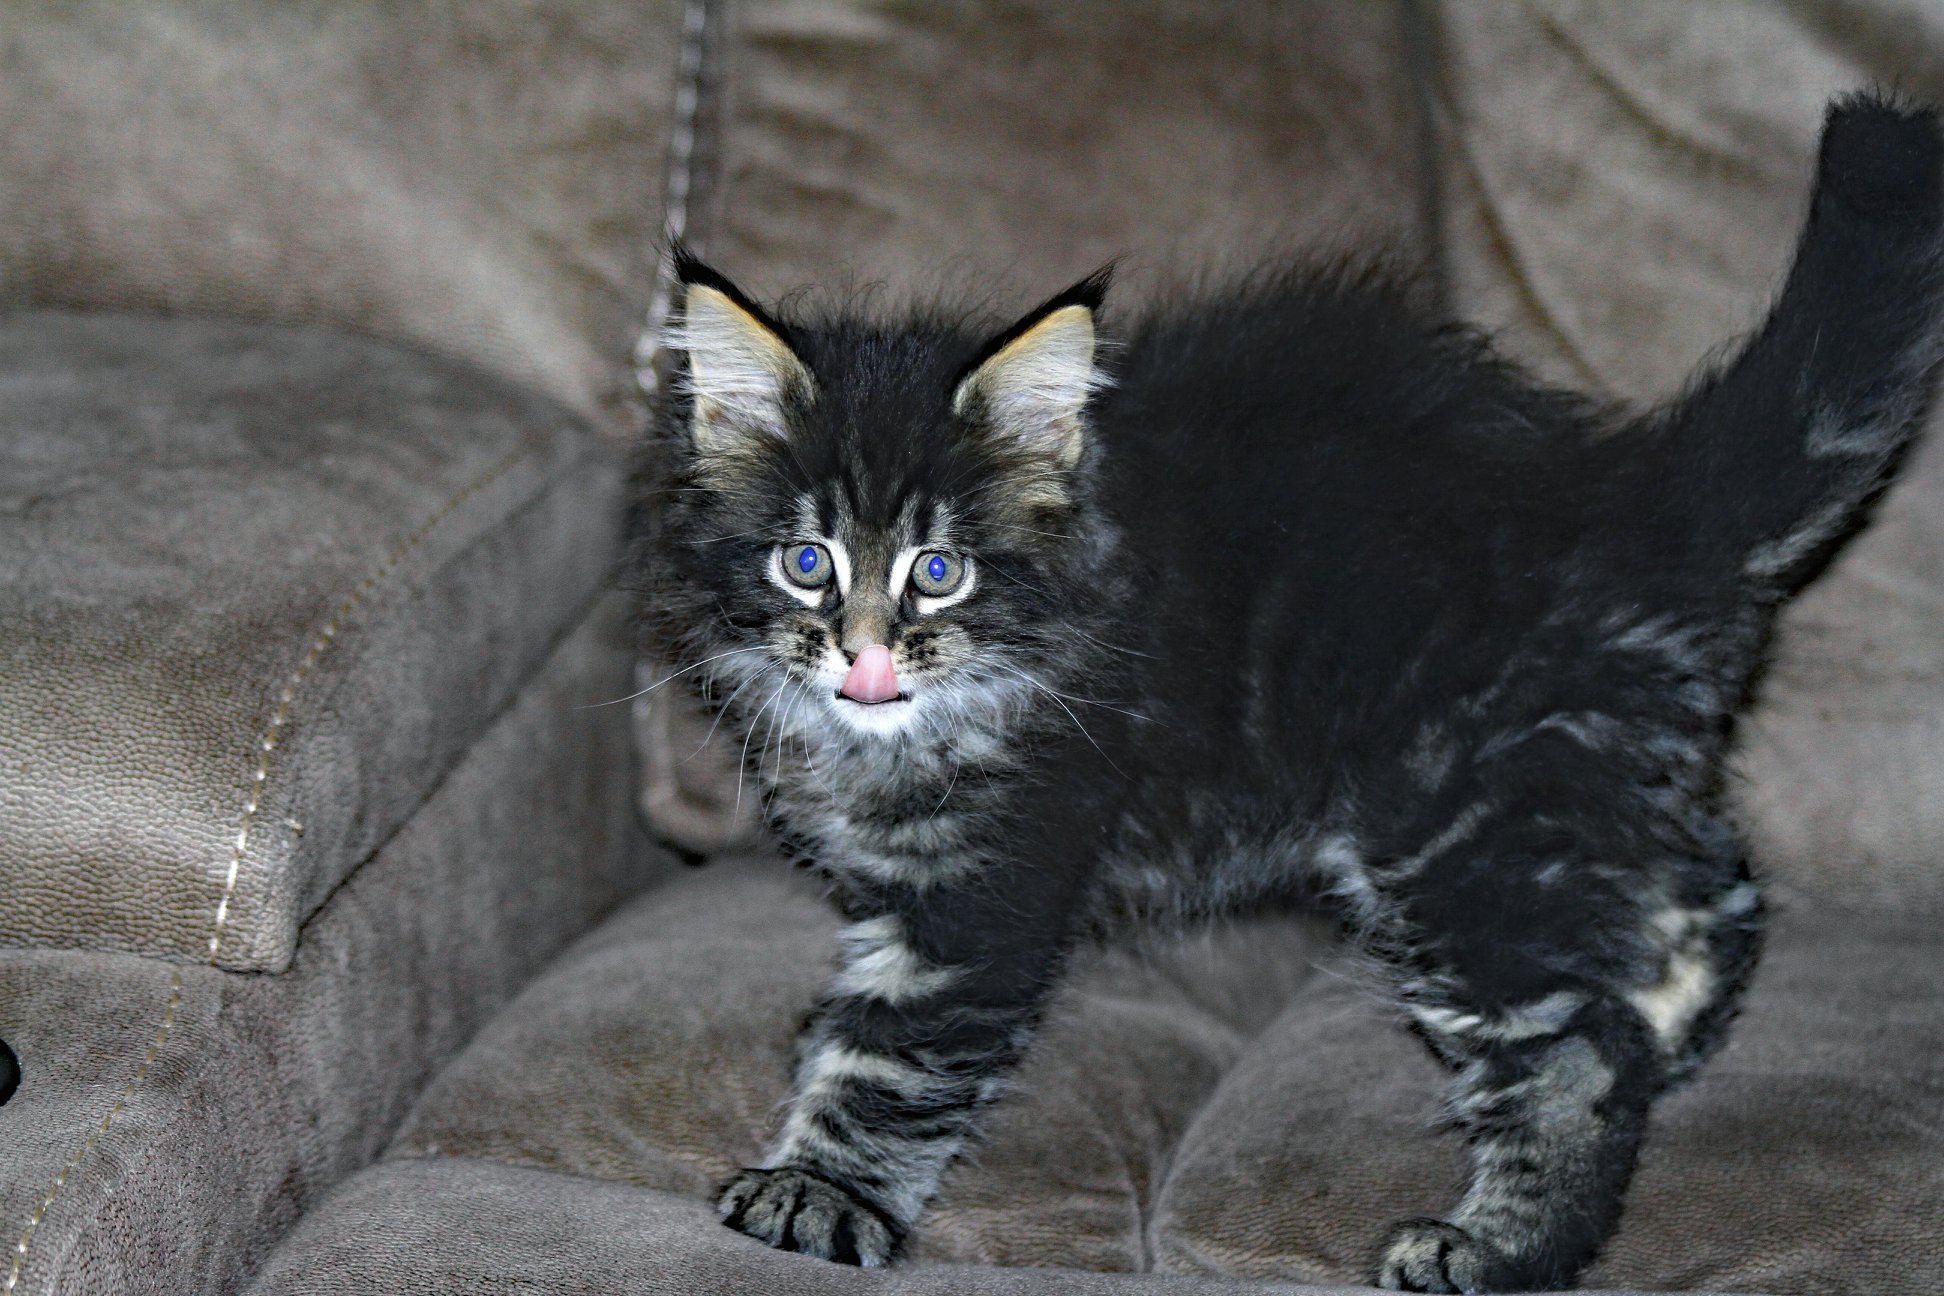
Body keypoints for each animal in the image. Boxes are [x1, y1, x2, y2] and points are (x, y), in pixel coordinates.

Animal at [629, 96, 1936, 1290]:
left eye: (938, 574)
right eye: (808, 563)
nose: (866, 661)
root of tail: (1630, 502)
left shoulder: (991, 883)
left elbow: (892, 1060)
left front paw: (817, 1192)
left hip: (1456, 819)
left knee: (1577, 1045)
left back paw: (1499, 1246)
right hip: (1572, 780)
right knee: (1710, 880)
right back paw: (1673, 1024)